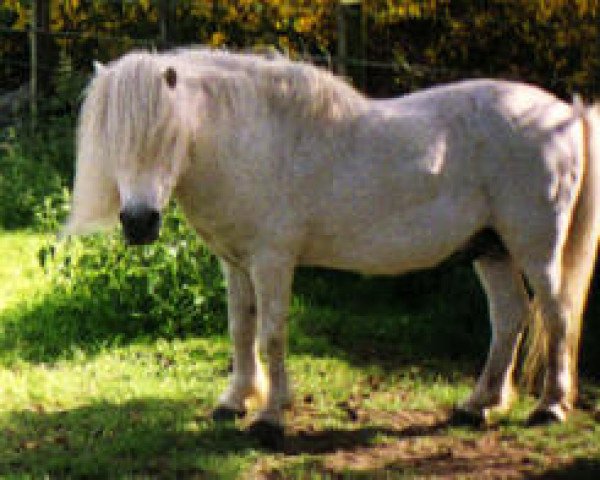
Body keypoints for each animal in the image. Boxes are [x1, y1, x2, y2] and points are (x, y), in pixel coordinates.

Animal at [63, 48, 596, 446]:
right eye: (113, 139)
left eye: (166, 135)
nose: (138, 223)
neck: (255, 143)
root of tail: (562, 113)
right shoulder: (235, 264)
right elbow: (240, 330)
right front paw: (235, 401)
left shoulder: (272, 262)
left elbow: (270, 335)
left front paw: (270, 418)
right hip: (491, 249)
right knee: (509, 316)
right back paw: (478, 405)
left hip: (535, 248)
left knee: (556, 315)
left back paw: (550, 407)